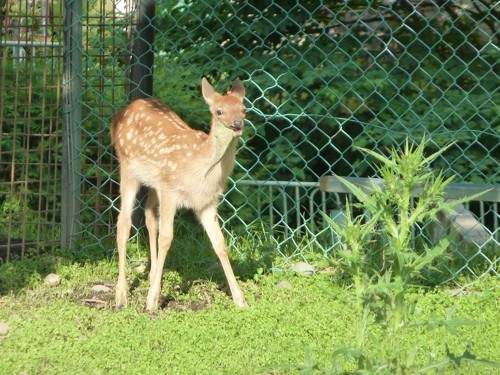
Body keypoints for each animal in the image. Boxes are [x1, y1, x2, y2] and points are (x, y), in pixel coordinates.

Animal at [111, 78, 248, 312]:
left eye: (244, 109)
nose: (237, 123)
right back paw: (121, 295)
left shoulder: (206, 202)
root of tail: (121, 112)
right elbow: (167, 237)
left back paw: (152, 276)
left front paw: (240, 299)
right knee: (124, 222)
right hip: (127, 167)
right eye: (219, 111)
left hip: (153, 182)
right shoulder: (170, 190)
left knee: (149, 215)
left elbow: (219, 243)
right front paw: (152, 301)